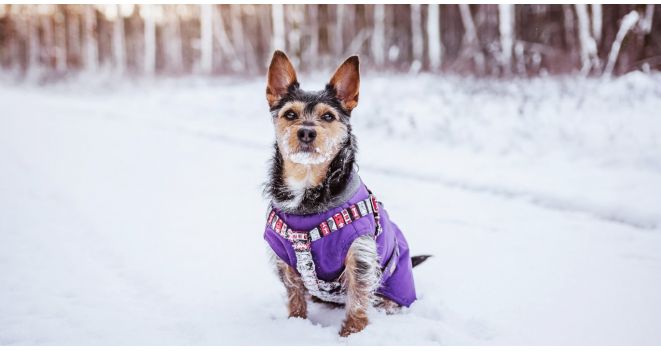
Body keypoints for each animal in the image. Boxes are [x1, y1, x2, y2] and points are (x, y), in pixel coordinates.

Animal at [260, 51, 430, 336]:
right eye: (290, 114)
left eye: (328, 117)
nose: (306, 131)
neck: (308, 192)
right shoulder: (284, 256)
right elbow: (295, 293)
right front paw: (296, 323)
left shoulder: (360, 254)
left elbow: (358, 298)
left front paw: (352, 333)